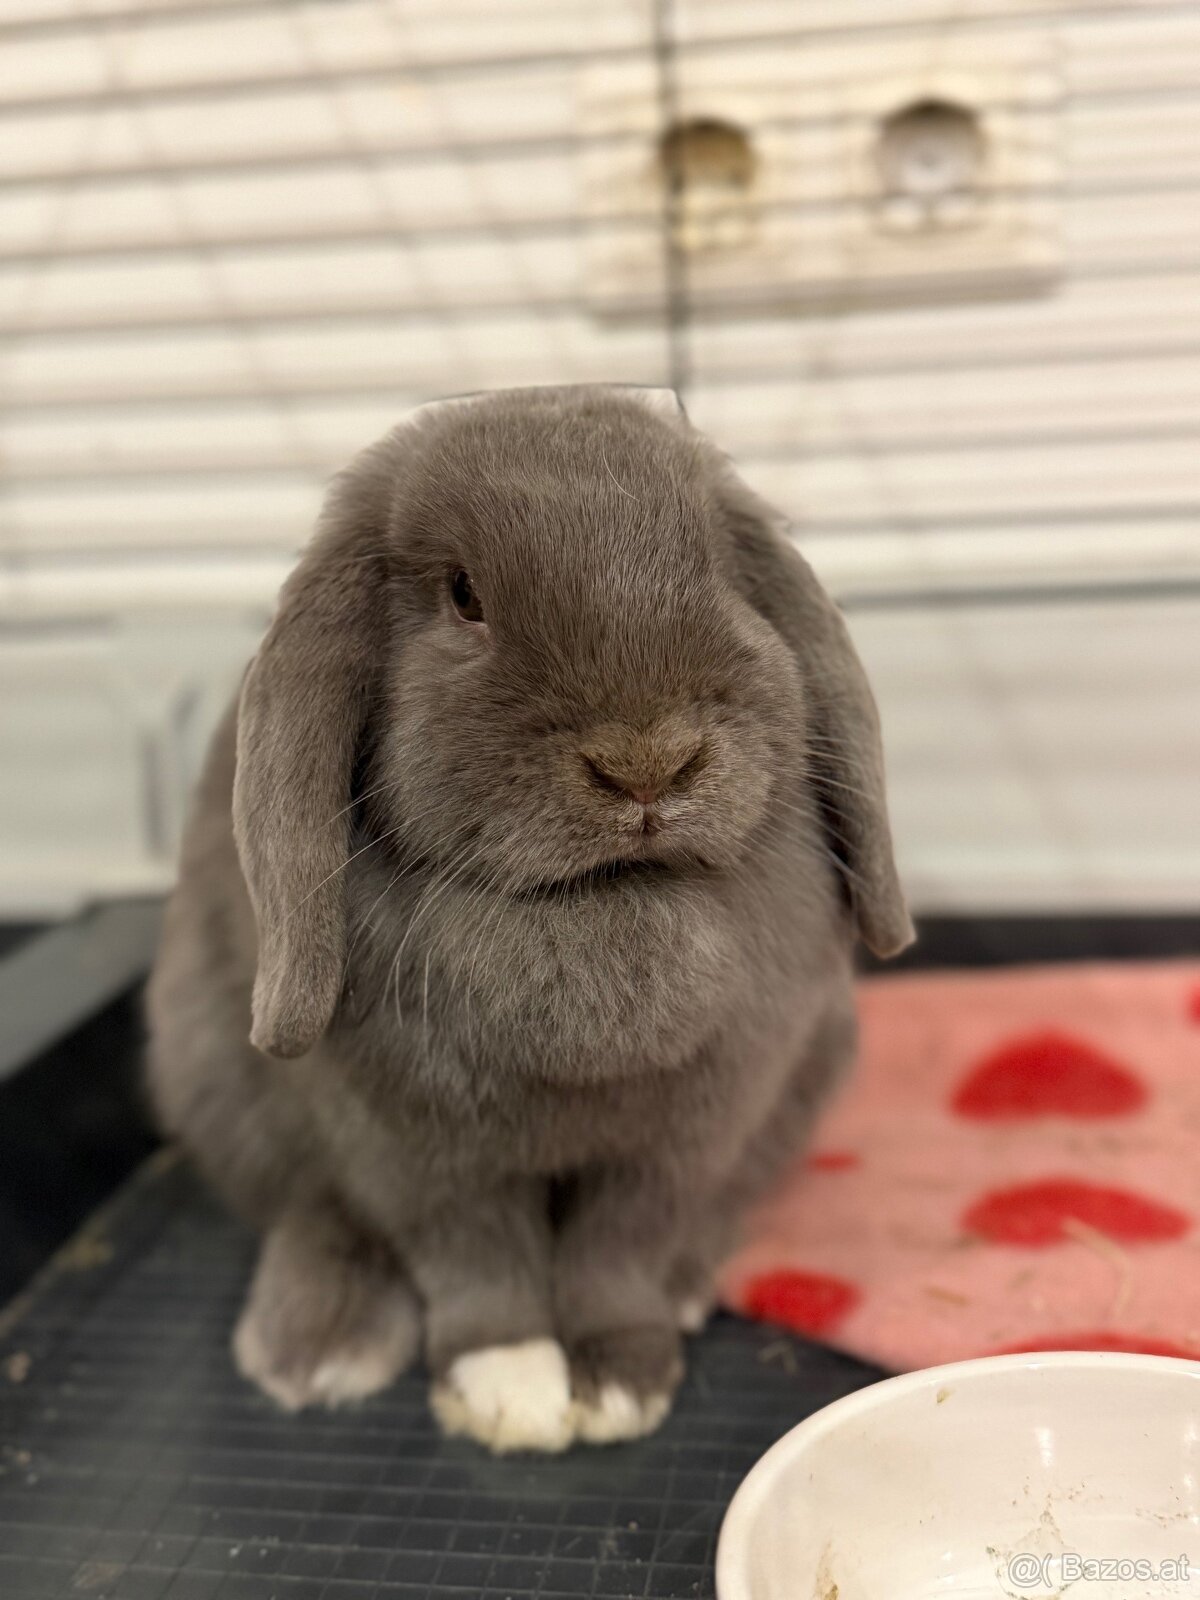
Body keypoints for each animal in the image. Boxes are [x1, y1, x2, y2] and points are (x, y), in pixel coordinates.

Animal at [145, 383, 912, 1453]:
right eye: (465, 595)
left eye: (720, 569)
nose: (647, 763)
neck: (600, 908)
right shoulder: (417, 1152)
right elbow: (476, 1265)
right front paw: (506, 1390)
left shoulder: (680, 1142)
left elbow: (617, 1253)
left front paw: (620, 1384)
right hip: (214, 1077)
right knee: (316, 1215)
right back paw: (316, 1352)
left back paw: (687, 1286)